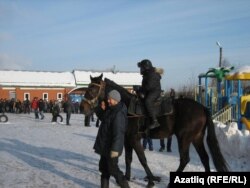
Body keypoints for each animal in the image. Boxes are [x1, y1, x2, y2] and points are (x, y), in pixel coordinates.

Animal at [81, 74, 229, 187]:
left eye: (93, 89)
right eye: (87, 88)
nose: (83, 107)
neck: (127, 106)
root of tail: (202, 108)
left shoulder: (134, 139)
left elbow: (142, 159)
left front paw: (151, 180)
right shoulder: (127, 140)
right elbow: (128, 159)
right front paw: (127, 177)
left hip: (184, 138)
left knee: (185, 159)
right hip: (196, 138)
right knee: (204, 158)